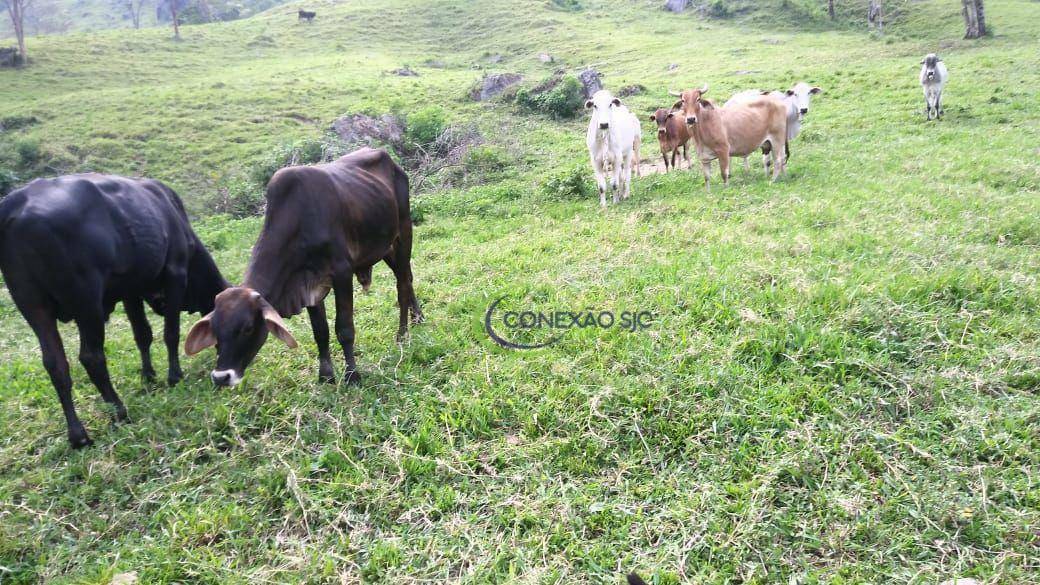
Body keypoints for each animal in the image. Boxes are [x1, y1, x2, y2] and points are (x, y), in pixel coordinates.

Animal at [0, 172, 227, 445]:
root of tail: (16, 202)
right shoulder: (176, 273)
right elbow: (170, 333)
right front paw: (174, 376)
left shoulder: (131, 290)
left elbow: (143, 335)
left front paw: (148, 377)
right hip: (86, 301)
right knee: (91, 357)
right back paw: (119, 412)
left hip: (32, 304)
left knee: (56, 364)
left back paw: (78, 435)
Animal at [184, 147, 422, 387]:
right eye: (215, 329)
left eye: (247, 328)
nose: (221, 377)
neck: (300, 221)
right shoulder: (308, 285)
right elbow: (321, 331)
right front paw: (326, 376)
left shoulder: (342, 273)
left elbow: (344, 329)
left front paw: (352, 375)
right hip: (385, 248)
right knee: (407, 279)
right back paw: (417, 318)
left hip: (403, 234)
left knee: (402, 285)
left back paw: (402, 334)